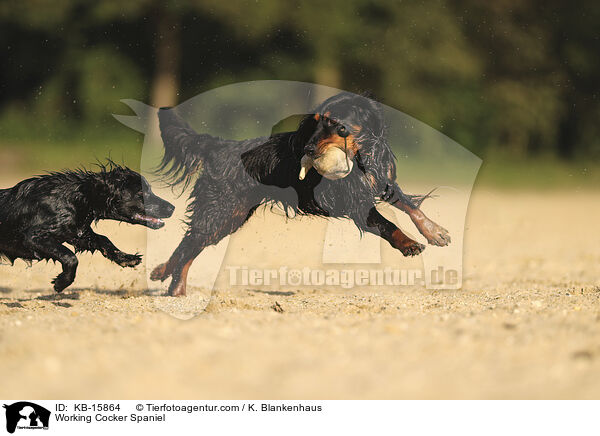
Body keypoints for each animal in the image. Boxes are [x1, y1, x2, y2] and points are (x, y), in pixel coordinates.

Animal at [0, 162, 173, 292]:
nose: (173, 208)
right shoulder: (34, 237)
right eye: (141, 194)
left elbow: (104, 240)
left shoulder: (78, 234)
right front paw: (61, 282)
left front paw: (126, 258)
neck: (80, 197)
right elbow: (70, 257)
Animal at [150, 92, 450, 296]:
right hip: (219, 208)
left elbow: (410, 205)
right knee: (190, 243)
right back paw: (172, 283)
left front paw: (434, 231)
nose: (307, 149)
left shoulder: (382, 181)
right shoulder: (356, 204)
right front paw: (409, 243)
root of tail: (219, 146)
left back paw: (165, 275)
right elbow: (388, 224)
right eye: (315, 124)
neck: (363, 154)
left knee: (191, 244)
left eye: (337, 124)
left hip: (231, 216)